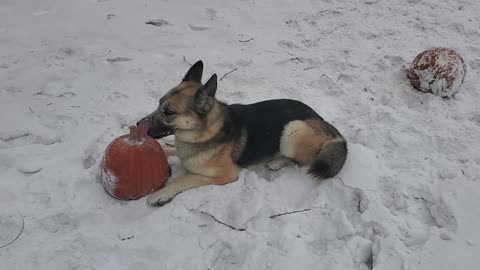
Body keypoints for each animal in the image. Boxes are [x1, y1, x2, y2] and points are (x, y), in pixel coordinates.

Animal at [137, 61, 346, 206]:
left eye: (168, 112)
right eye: (159, 103)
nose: (138, 124)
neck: (205, 134)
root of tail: (322, 119)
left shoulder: (225, 175)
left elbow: (185, 178)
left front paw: (161, 193)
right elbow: (166, 148)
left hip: (293, 129)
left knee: (302, 160)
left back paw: (278, 162)